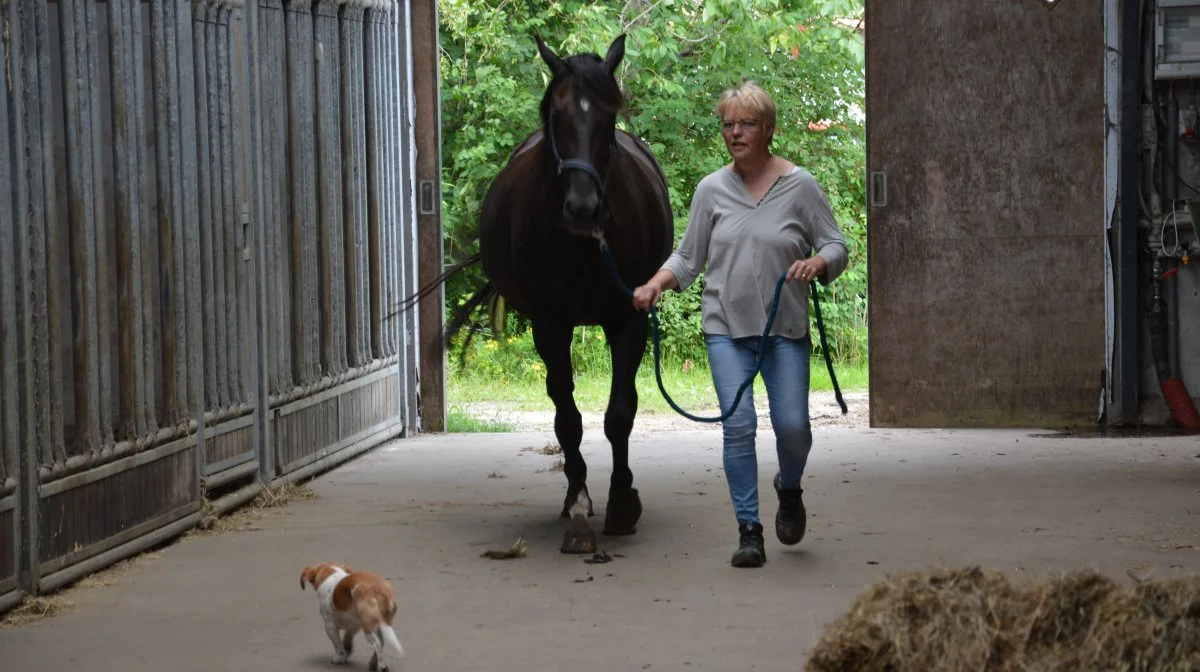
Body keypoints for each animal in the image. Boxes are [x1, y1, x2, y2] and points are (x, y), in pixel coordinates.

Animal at [412, 34, 676, 554]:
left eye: (609, 115)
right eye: (556, 116)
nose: (582, 208)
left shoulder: (628, 317)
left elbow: (620, 413)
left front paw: (622, 502)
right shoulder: (550, 324)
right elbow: (567, 416)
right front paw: (579, 504)